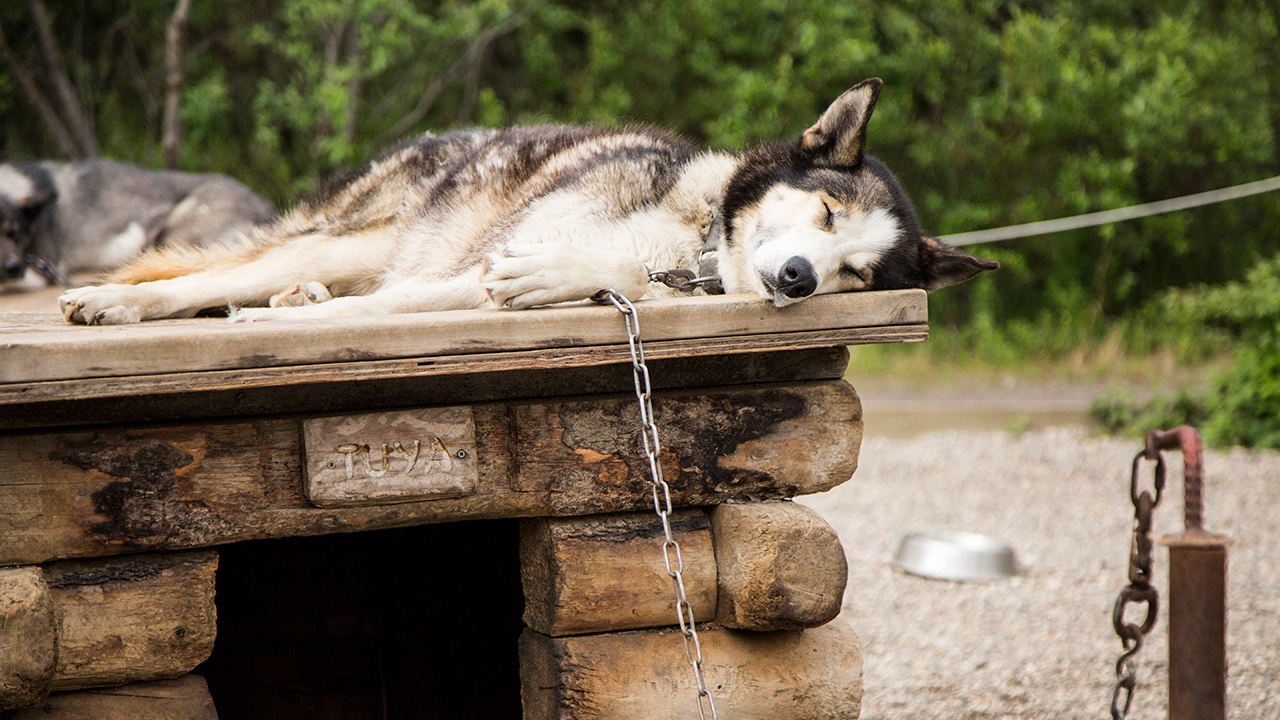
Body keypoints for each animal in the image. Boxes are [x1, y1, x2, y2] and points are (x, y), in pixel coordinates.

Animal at [60, 79, 993, 325]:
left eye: (858, 272)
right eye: (828, 216)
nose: (801, 277)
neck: (690, 241)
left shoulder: (479, 280)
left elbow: (611, 275)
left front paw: (560, 279)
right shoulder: (473, 267)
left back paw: (296, 299)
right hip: (353, 238)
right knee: (201, 283)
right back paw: (114, 304)